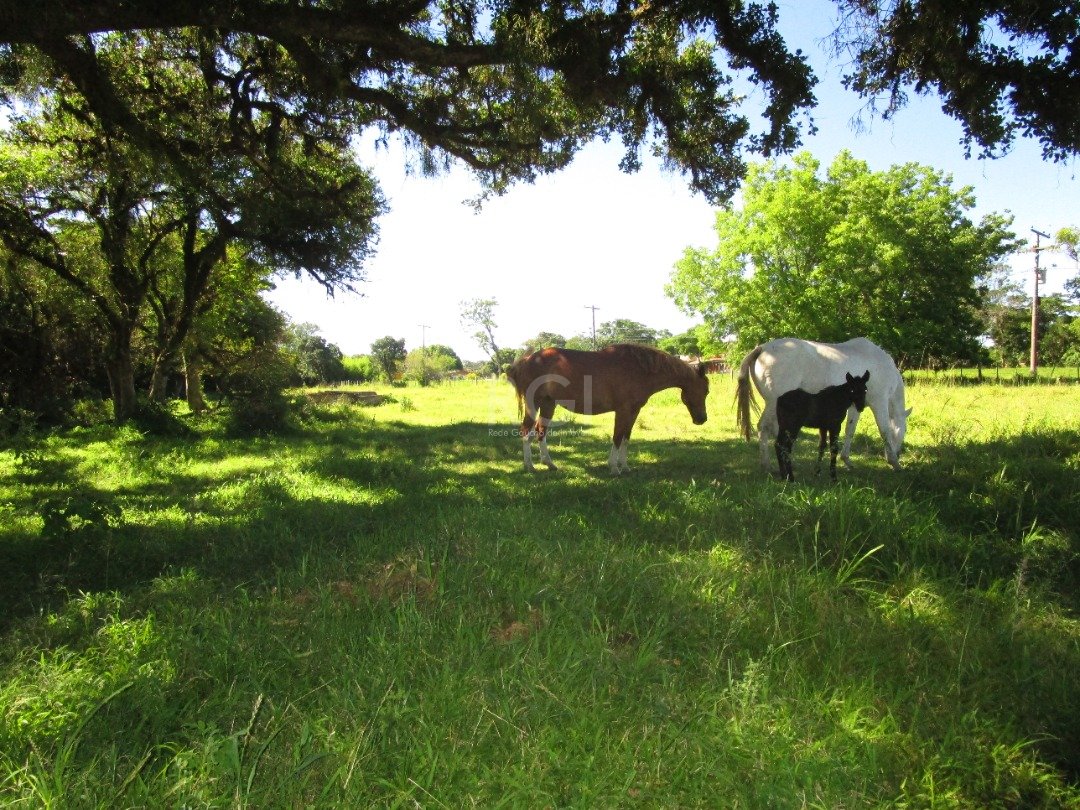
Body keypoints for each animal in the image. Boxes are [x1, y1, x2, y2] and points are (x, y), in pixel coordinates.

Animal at [505, 343, 708, 475]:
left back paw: (549, 464)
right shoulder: (623, 411)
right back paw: (530, 466)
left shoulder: (633, 412)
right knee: (526, 432)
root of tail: (527, 360)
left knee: (541, 432)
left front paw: (625, 466)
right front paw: (614, 467)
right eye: (706, 390)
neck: (640, 369)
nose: (702, 419)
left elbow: (626, 438)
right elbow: (617, 437)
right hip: (534, 404)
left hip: (548, 404)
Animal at [734, 339, 911, 473]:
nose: (898, 453)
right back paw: (768, 466)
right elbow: (885, 430)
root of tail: (762, 348)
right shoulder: (879, 402)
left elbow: (850, 431)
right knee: (764, 428)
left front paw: (846, 460)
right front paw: (894, 462)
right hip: (773, 404)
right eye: (903, 431)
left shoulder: (855, 407)